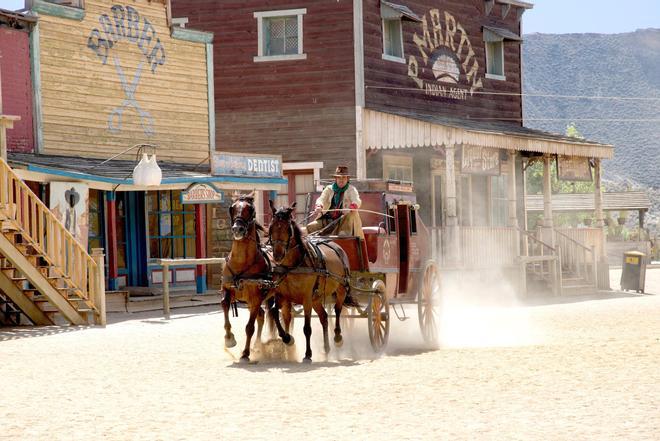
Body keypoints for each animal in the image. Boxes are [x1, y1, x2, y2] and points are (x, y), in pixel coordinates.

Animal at [223, 195, 272, 360]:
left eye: (250, 209)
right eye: (232, 208)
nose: (237, 229)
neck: (241, 262)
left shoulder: (256, 298)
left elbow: (249, 327)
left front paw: (245, 352)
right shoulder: (228, 290)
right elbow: (224, 305)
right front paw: (229, 338)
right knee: (262, 315)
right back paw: (257, 345)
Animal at [266, 201, 358, 362]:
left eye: (288, 228)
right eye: (271, 226)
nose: (277, 255)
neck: (293, 266)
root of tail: (337, 246)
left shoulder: (306, 298)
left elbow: (307, 328)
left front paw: (308, 354)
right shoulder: (282, 296)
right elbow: (276, 313)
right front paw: (287, 338)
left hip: (340, 289)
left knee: (338, 310)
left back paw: (338, 338)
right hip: (316, 298)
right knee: (324, 318)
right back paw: (326, 348)